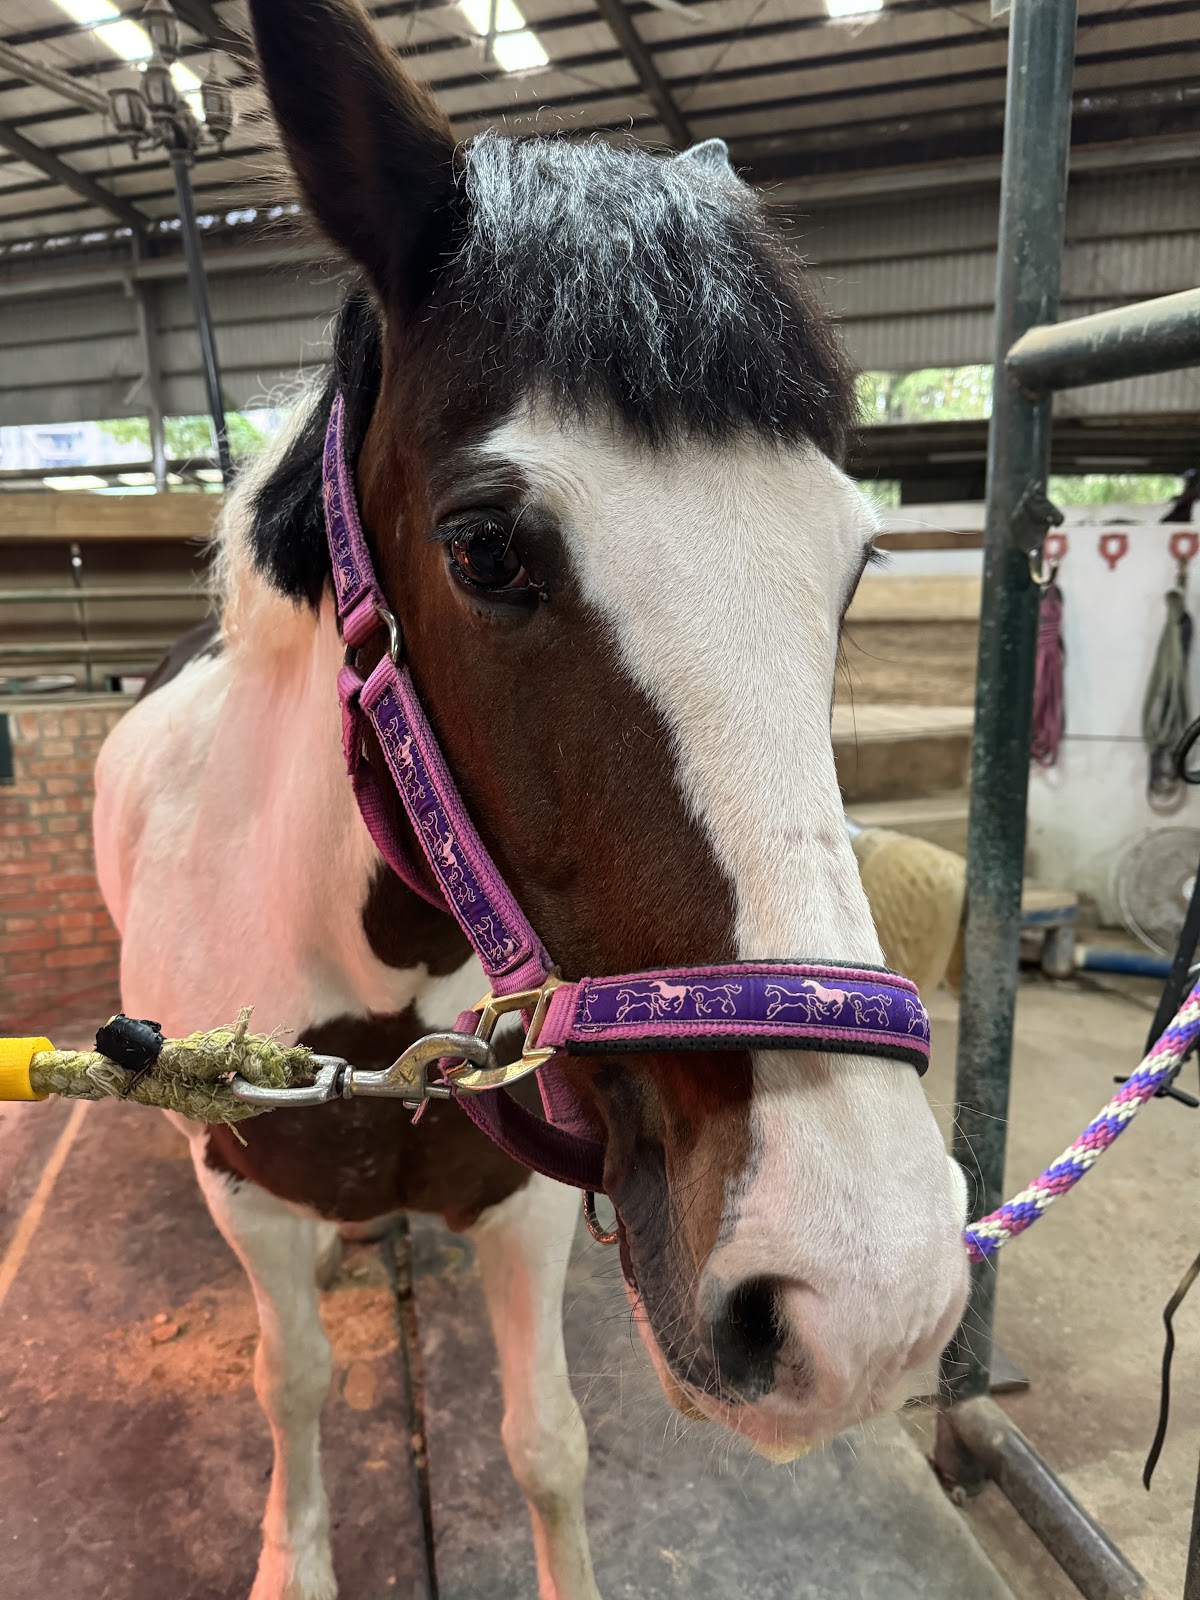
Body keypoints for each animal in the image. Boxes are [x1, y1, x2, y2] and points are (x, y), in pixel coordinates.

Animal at [92, 2, 968, 1596]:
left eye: (857, 561)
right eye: (486, 547)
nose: (863, 1294)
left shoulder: (539, 1201)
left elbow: (544, 1443)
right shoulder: (239, 1190)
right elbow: (291, 1382)